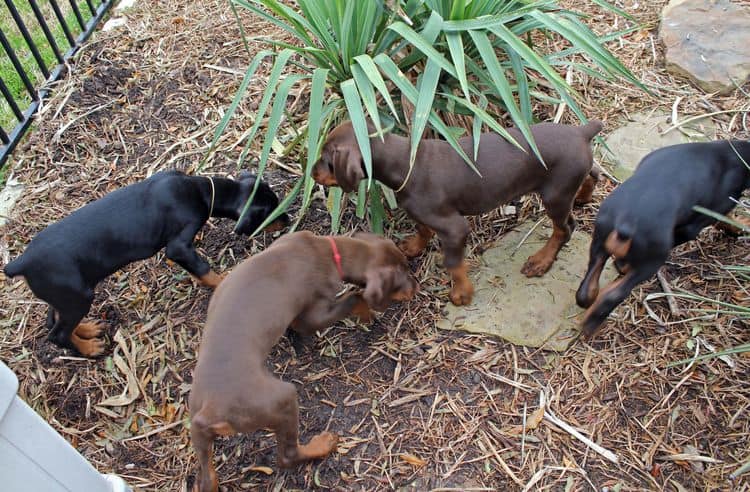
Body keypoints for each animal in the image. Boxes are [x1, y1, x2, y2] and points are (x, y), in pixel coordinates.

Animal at [3, 171, 288, 356]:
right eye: (272, 211)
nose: (289, 219)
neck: (199, 190)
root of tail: (22, 262)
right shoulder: (178, 246)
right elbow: (205, 269)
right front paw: (223, 281)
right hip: (78, 295)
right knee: (57, 334)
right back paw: (89, 349)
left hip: (64, 295)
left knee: (53, 321)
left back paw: (87, 330)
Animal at [188, 232, 420, 492]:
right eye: (403, 276)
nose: (417, 287)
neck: (326, 250)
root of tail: (209, 411)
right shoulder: (311, 316)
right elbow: (354, 298)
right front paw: (367, 312)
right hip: (282, 399)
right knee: (288, 456)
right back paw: (324, 444)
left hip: (199, 430)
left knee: (206, 478)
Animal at [308, 119, 604, 304]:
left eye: (326, 158)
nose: (311, 172)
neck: (406, 162)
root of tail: (582, 132)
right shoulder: (426, 215)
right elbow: (422, 228)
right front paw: (414, 246)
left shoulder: (455, 229)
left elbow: (453, 262)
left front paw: (462, 293)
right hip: (570, 179)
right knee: (594, 174)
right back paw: (583, 196)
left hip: (554, 196)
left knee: (564, 229)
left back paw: (541, 260)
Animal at [580, 140, 750, 336]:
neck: (734, 153)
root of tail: (627, 221)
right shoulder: (698, 222)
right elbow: (726, 220)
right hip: (651, 260)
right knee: (613, 295)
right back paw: (591, 326)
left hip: (600, 237)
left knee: (587, 287)